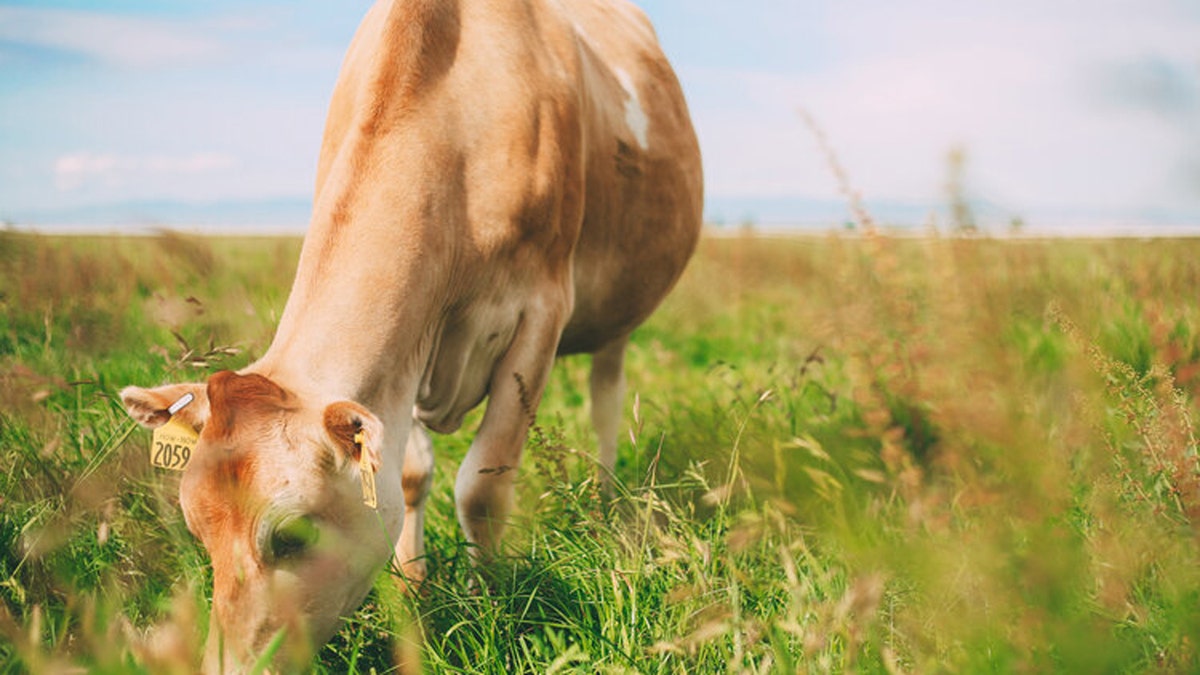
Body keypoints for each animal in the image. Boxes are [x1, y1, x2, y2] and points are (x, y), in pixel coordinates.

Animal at [119, 0, 700, 667]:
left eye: (290, 535)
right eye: (196, 529)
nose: (228, 667)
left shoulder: (540, 314)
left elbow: (482, 486)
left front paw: (488, 602)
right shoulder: (408, 357)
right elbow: (411, 477)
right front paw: (413, 589)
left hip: (617, 317)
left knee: (606, 404)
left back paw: (603, 507)